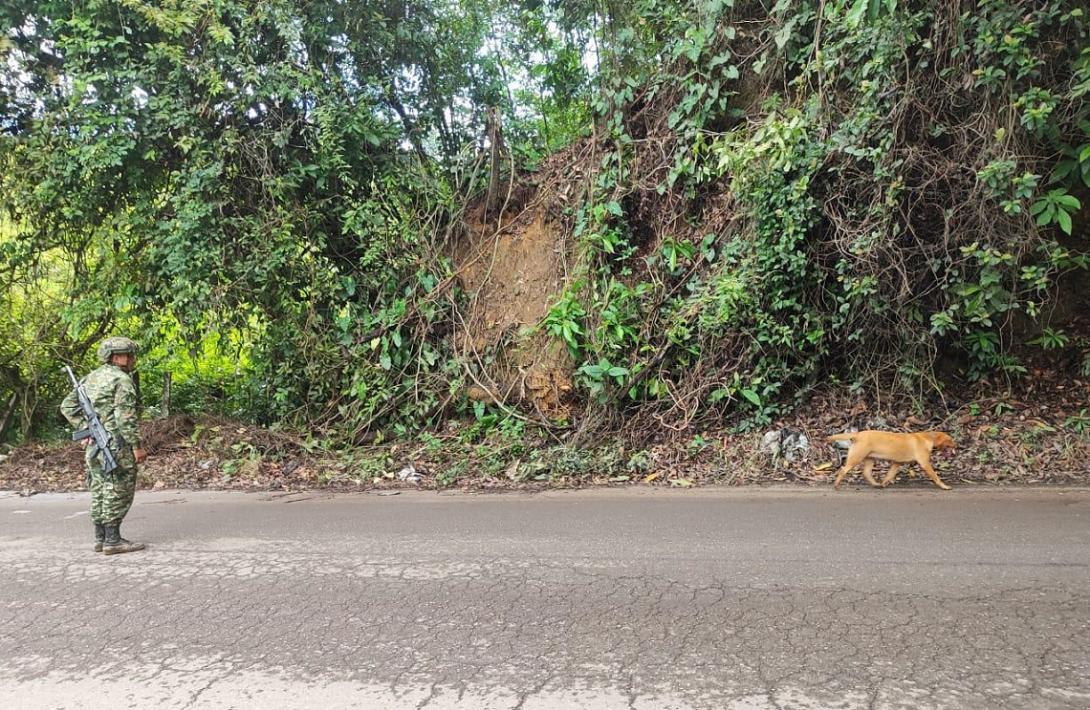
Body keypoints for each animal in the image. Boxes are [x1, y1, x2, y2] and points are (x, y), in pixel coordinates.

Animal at [824, 429, 954, 490]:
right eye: (950, 440)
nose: (957, 446)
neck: (929, 437)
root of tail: (858, 434)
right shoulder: (925, 463)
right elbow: (935, 476)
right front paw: (944, 486)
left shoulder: (897, 463)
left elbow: (889, 475)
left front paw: (884, 483)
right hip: (856, 457)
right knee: (843, 470)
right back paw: (836, 485)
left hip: (869, 458)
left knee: (866, 473)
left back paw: (876, 484)